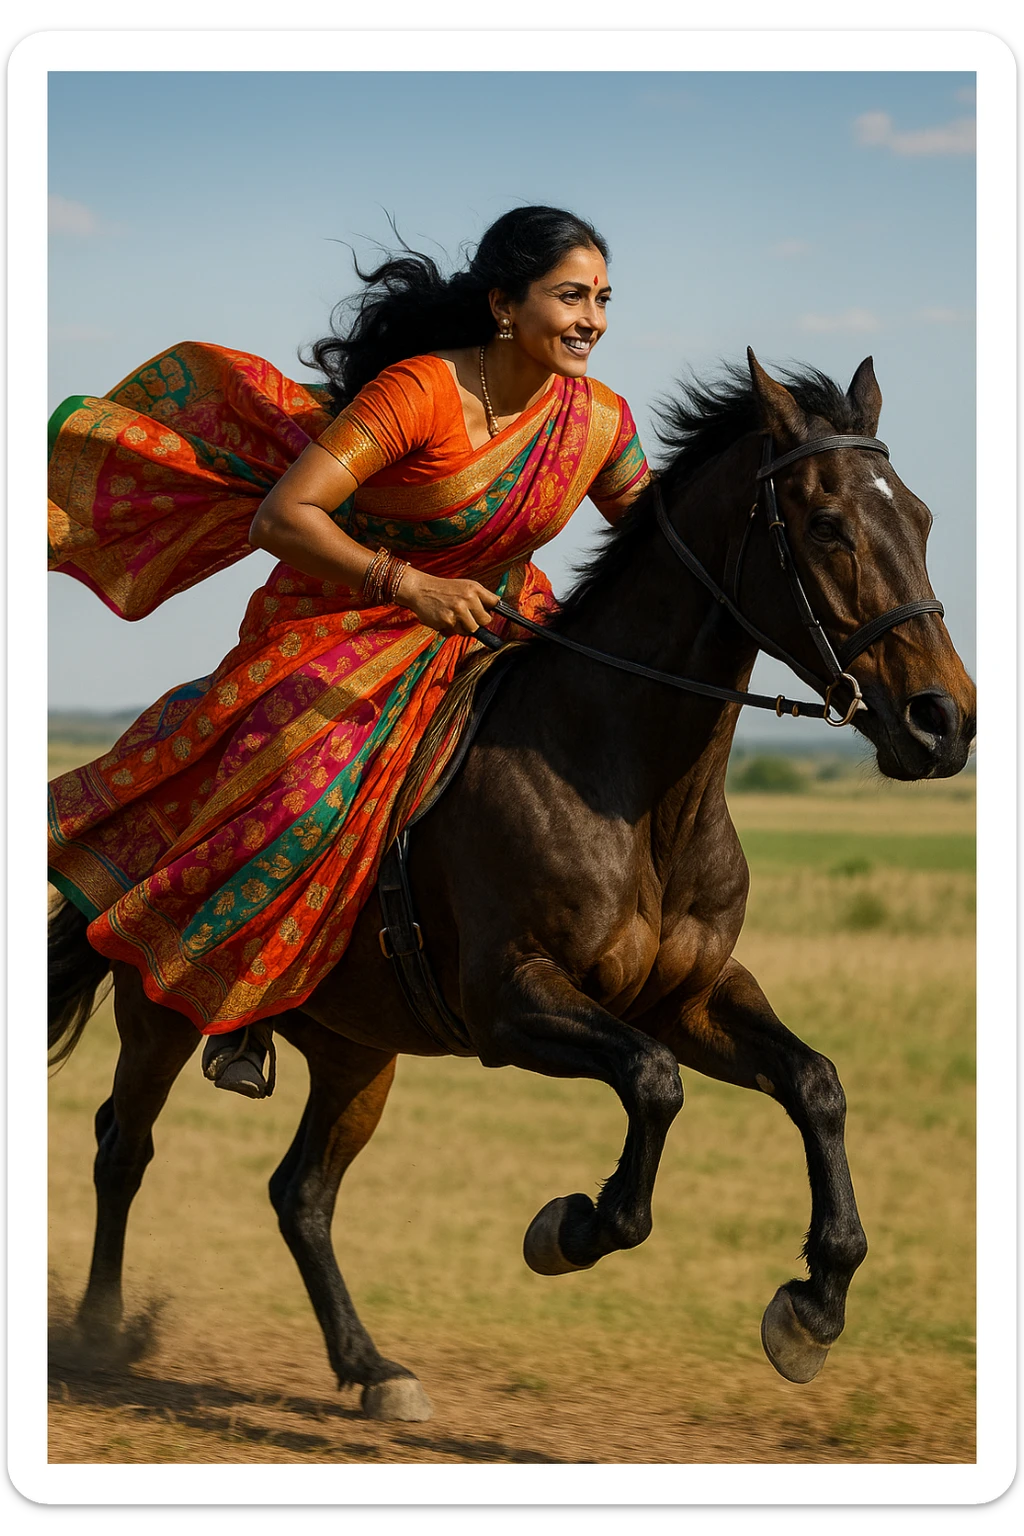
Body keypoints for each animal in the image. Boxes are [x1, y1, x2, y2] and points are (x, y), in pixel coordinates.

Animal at [48, 350, 977, 1423]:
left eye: (922, 518)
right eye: (825, 522)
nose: (945, 722)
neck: (632, 793)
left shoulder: (693, 995)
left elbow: (815, 1083)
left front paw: (814, 1303)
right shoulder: (511, 1002)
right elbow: (653, 1086)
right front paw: (570, 1229)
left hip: (358, 1049)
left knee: (302, 1194)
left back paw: (375, 1369)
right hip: (161, 1005)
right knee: (123, 1145)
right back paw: (102, 1332)